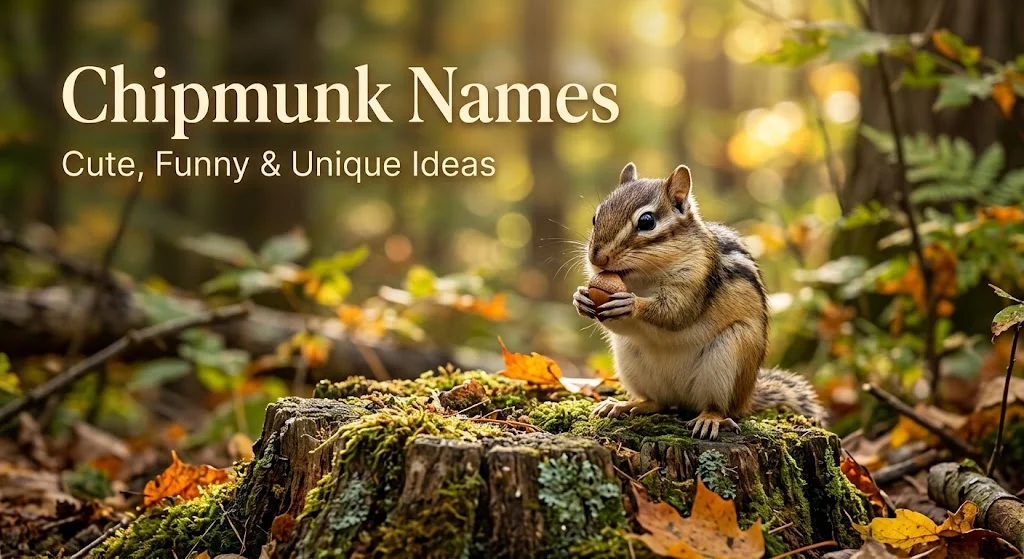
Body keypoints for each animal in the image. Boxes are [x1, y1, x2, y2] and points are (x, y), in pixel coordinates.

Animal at [572, 162, 825, 440]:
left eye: (647, 221)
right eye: (596, 217)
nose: (596, 259)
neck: (642, 277)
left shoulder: (697, 280)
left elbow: (676, 313)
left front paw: (632, 304)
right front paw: (581, 298)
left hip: (730, 358)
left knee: (718, 407)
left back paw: (709, 420)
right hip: (630, 360)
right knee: (658, 402)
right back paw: (624, 405)